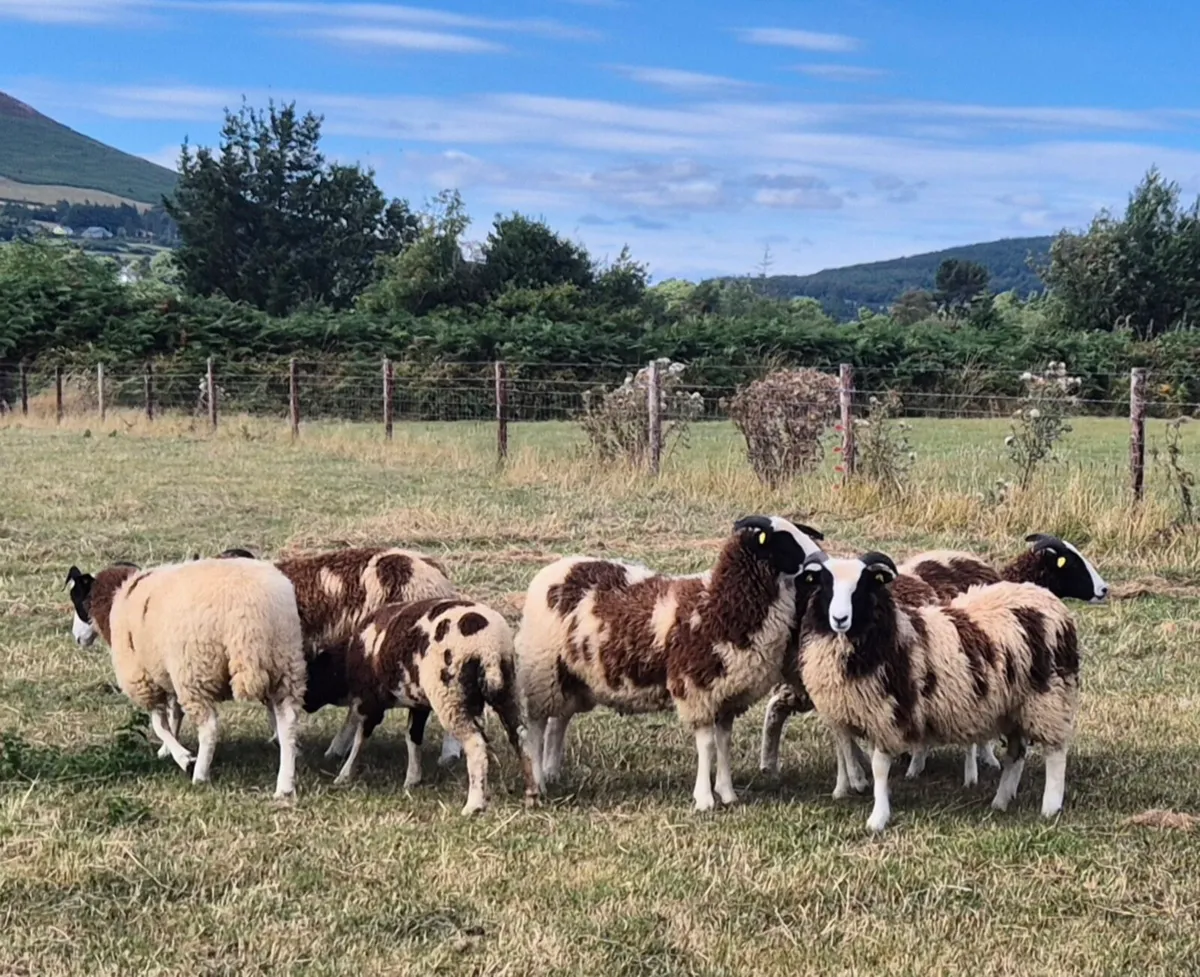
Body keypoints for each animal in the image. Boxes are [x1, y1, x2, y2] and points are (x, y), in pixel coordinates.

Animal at [65, 558, 307, 798]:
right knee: (288, 723)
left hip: (194, 670)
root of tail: (254, 615)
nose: (76, 638)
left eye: (78, 600)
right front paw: (167, 750)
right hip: (285, 665)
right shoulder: (168, 676)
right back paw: (285, 786)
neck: (116, 598)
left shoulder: (144, 680)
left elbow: (159, 725)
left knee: (209, 727)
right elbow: (174, 717)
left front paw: (183, 757)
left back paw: (199, 775)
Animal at [314, 597, 536, 815]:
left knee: (476, 744)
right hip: (506, 690)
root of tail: (488, 648)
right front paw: (412, 779)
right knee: (520, 736)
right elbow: (412, 736)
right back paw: (532, 794)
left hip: (449, 697)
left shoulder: (370, 700)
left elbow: (361, 738)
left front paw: (344, 774)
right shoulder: (418, 704)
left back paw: (474, 804)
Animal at [515, 515, 824, 811]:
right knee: (537, 726)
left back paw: (553, 771)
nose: (820, 559)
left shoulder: (727, 696)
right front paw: (704, 799)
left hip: (571, 677)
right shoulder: (696, 689)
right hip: (543, 671)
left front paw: (727, 793)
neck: (720, 605)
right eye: (785, 541)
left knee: (560, 720)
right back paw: (539, 781)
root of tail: (556, 569)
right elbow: (707, 745)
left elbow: (724, 743)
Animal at [798, 552, 1080, 832]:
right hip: (1014, 707)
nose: (840, 619)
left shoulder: (888, 714)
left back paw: (1049, 807)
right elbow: (845, 746)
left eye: (863, 585)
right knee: (1016, 754)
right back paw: (1001, 801)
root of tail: (1046, 597)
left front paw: (878, 818)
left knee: (1055, 753)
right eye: (825, 584)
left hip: (1048, 699)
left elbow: (879, 767)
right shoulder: (847, 709)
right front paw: (853, 785)